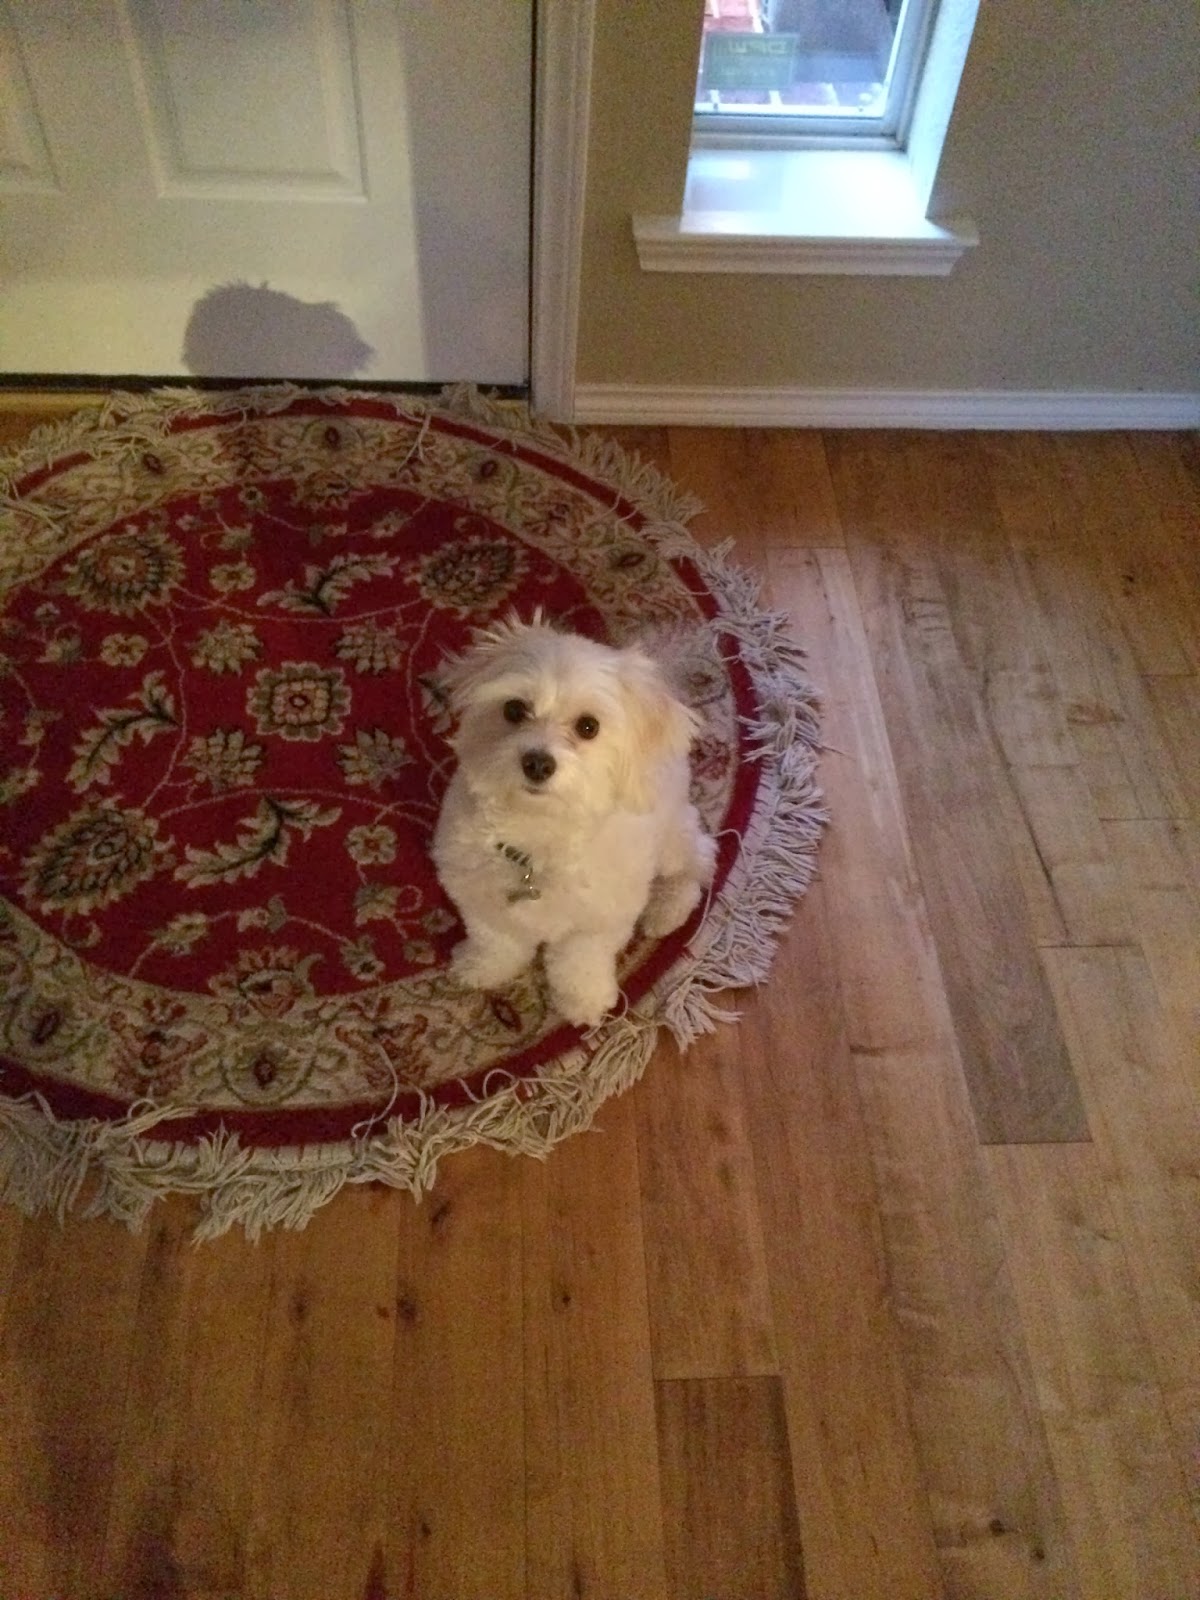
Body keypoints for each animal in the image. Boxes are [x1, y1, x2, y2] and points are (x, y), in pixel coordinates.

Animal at [431, 615, 716, 1027]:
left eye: (588, 726)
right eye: (514, 709)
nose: (537, 763)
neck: (539, 835)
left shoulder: (599, 920)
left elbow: (580, 961)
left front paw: (583, 1002)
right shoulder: (478, 895)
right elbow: (495, 939)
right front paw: (483, 968)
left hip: (670, 837)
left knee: (699, 859)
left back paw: (666, 910)